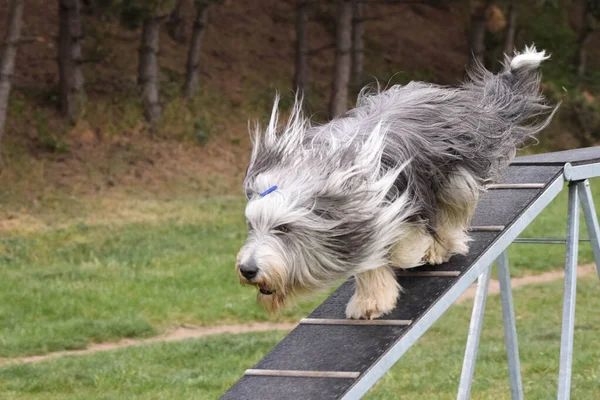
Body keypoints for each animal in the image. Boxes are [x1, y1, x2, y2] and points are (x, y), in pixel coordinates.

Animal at [237, 46, 556, 318]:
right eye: (251, 225)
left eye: (284, 228)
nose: (248, 269)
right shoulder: (361, 222)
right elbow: (369, 259)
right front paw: (371, 300)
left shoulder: (390, 205)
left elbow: (400, 241)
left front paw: (408, 257)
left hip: (453, 175)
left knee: (452, 213)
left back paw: (440, 247)